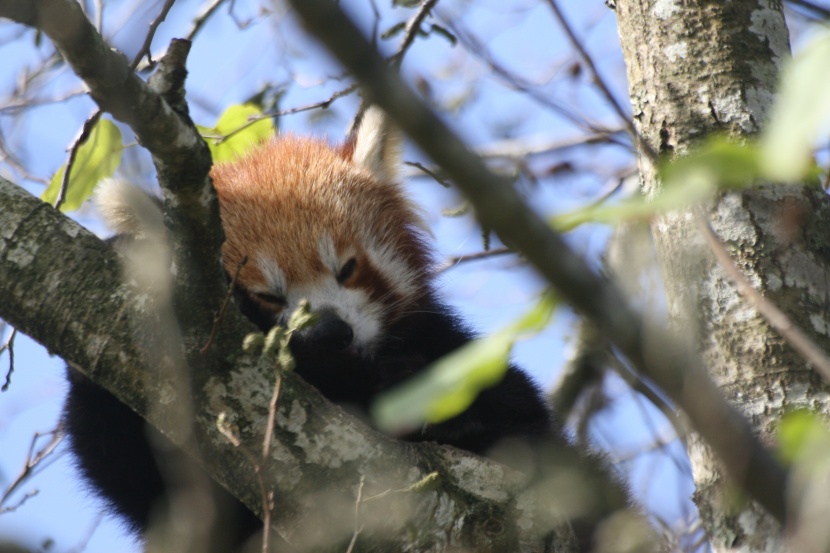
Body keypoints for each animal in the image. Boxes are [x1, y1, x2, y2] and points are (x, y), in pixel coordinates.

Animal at [63, 108, 616, 552]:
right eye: (267, 295)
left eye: (347, 268)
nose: (330, 333)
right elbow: (131, 473)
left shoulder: (449, 346)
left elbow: (517, 410)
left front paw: (422, 396)